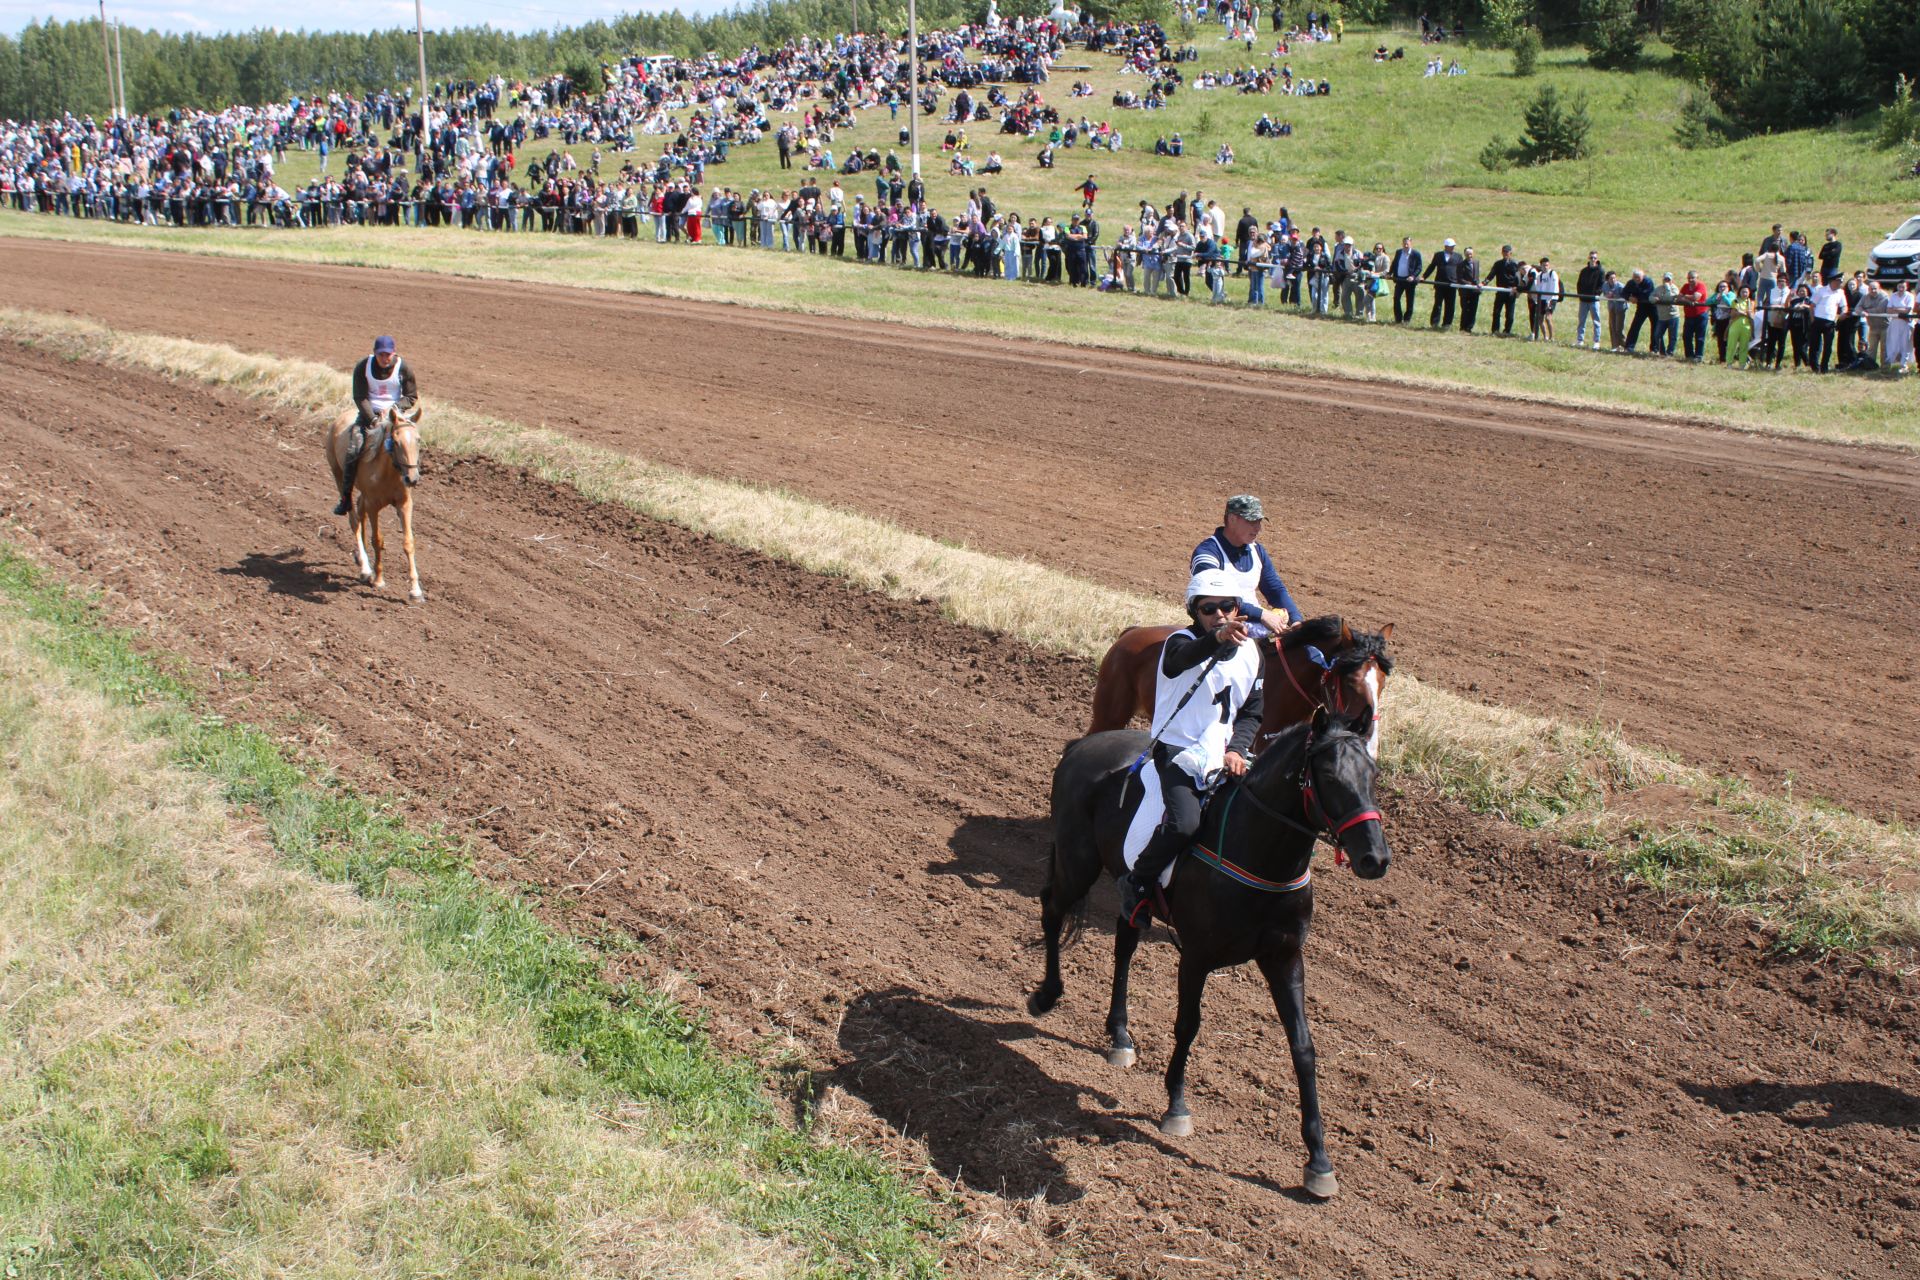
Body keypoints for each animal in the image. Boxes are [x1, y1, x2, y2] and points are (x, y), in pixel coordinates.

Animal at [326, 404, 424, 606]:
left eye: (418, 440)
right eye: (395, 441)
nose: (412, 479)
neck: (388, 473)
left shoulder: (404, 504)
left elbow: (408, 542)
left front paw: (415, 591)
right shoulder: (373, 505)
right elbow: (377, 540)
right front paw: (378, 579)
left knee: (359, 510)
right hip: (339, 475)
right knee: (354, 519)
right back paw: (365, 568)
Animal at [1029, 710, 1390, 1205]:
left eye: (1372, 774)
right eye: (1331, 776)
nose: (1375, 857)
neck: (1256, 848)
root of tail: (1081, 745)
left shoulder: (1285, 958)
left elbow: (1303, 1047)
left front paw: (1319, 1160)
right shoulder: (1197, 955)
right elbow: (1188, 1025)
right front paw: (1176, 1106)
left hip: (1125, 885)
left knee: (1123, 945)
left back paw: (1119, 1035)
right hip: (1076, 862)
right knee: (1051, 910)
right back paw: (1046, 995)